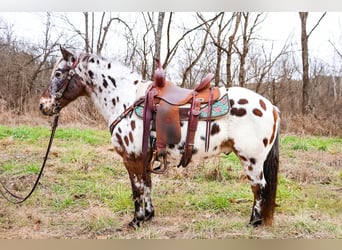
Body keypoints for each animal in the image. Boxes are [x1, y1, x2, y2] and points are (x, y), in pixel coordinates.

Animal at [40, 47, 280, 229]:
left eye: (59, 73)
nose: (43, 105)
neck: (126, 98)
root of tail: (271, 107)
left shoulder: (132, 158)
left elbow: (137, 188)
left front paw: (136, 221)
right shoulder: (144, 158)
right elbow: (147, 185)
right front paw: (148, 216)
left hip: (252, 161)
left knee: (259, 187)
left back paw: (254, 222)